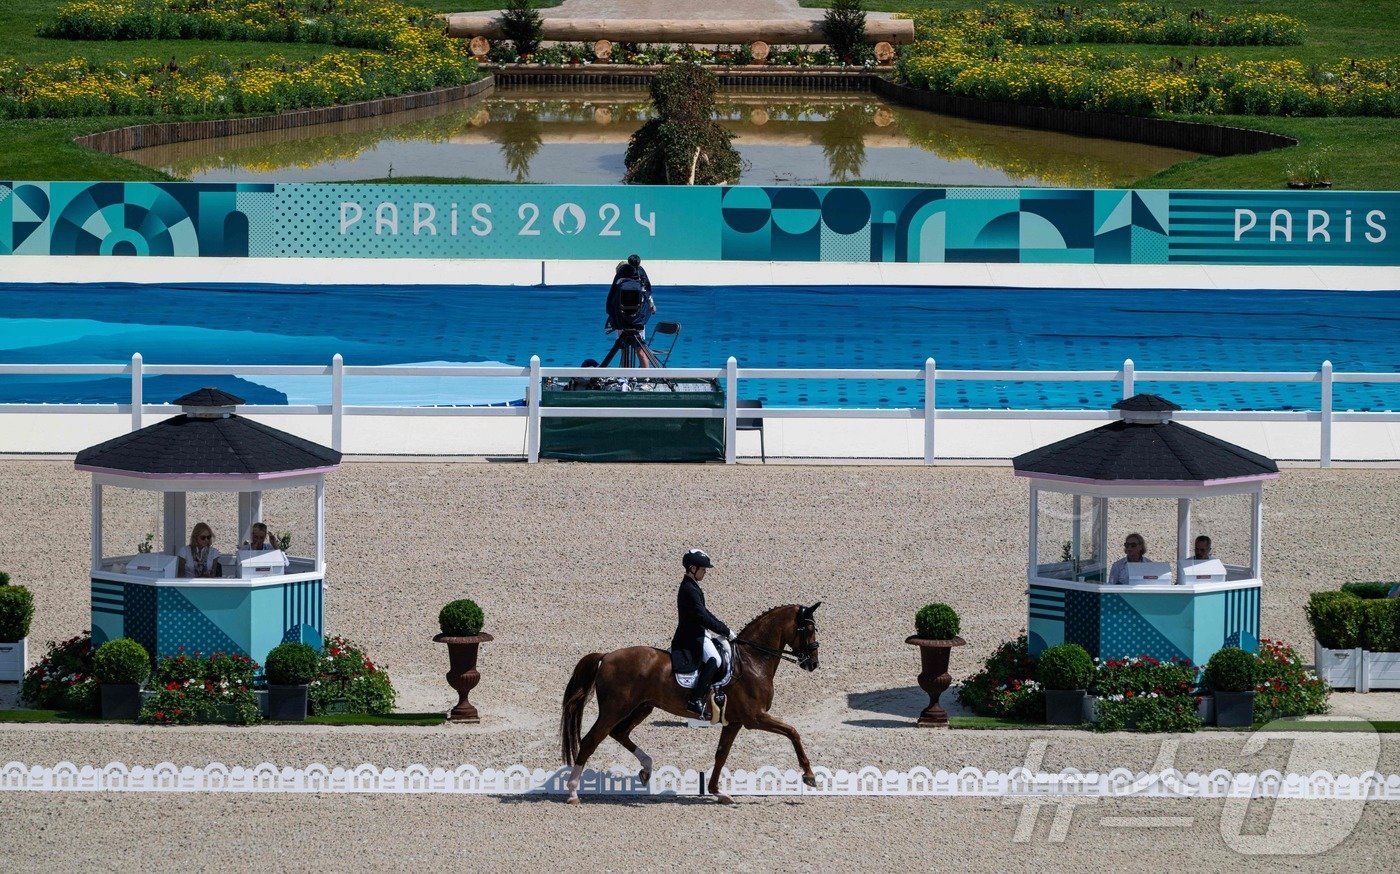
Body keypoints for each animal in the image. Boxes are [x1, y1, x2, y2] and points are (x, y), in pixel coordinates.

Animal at [557, 599, 817, 806]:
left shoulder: (734, 722)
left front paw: (717, 792)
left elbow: (721, 754)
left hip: (642, 707)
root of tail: (607, 656)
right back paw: (572, 793)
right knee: (591, 741)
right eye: (807, 629)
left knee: (619, 733)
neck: (752, 661)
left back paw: (646, 769)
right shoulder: (755, 717)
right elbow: (793, 732)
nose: (813, 663)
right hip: (615, 708)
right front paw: (809, 776)